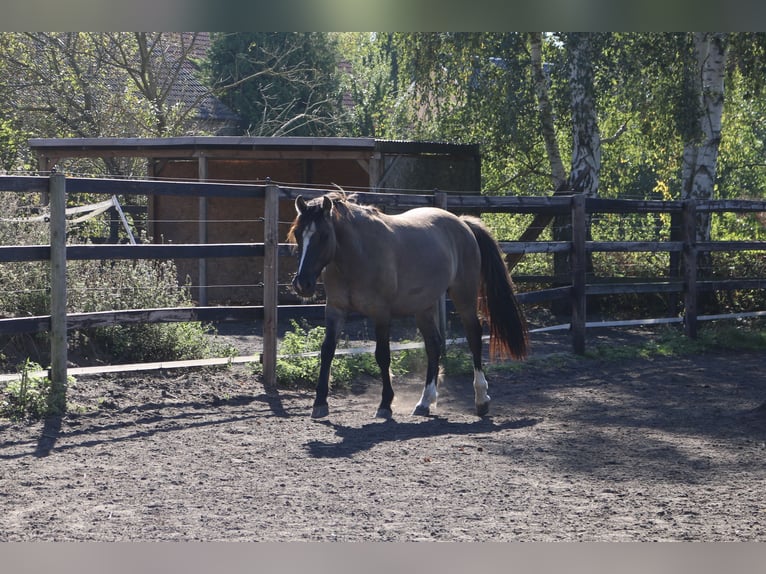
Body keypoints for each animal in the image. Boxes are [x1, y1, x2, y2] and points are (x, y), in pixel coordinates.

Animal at [288, 191, 528, 420]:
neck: (357, 255)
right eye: (298, 234)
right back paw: (425, 402)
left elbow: (382, 355)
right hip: (424, 307)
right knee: (434, 345)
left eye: (324, 235)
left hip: (464, 297)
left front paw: (385, 405)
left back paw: (481, 399)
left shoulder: (381, 312)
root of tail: (462, 223)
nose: (302, 284)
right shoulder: (335, 309)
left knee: (474, 337)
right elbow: (327, 350)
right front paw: (320, 403)